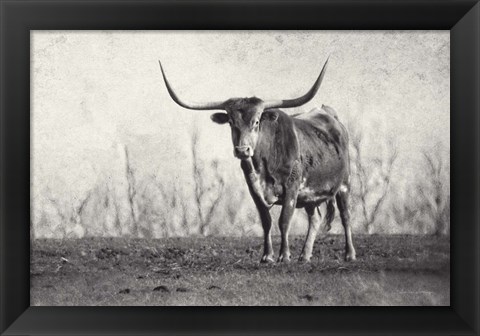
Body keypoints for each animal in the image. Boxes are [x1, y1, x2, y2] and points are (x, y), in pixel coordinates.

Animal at [159, 59, 354, 262]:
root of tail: (328, 113)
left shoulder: (292, 186)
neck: (264, 163)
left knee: (346, 215)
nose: (242, 150)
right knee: (315, 217)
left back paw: (349, 254)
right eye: (231, 123)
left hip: (345, 183)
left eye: (257, 122)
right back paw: (305, 255)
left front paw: (284, 255)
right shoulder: (254, 189)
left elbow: (284, 220)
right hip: (311, 194)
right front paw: (267, 256)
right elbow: (266, 221)